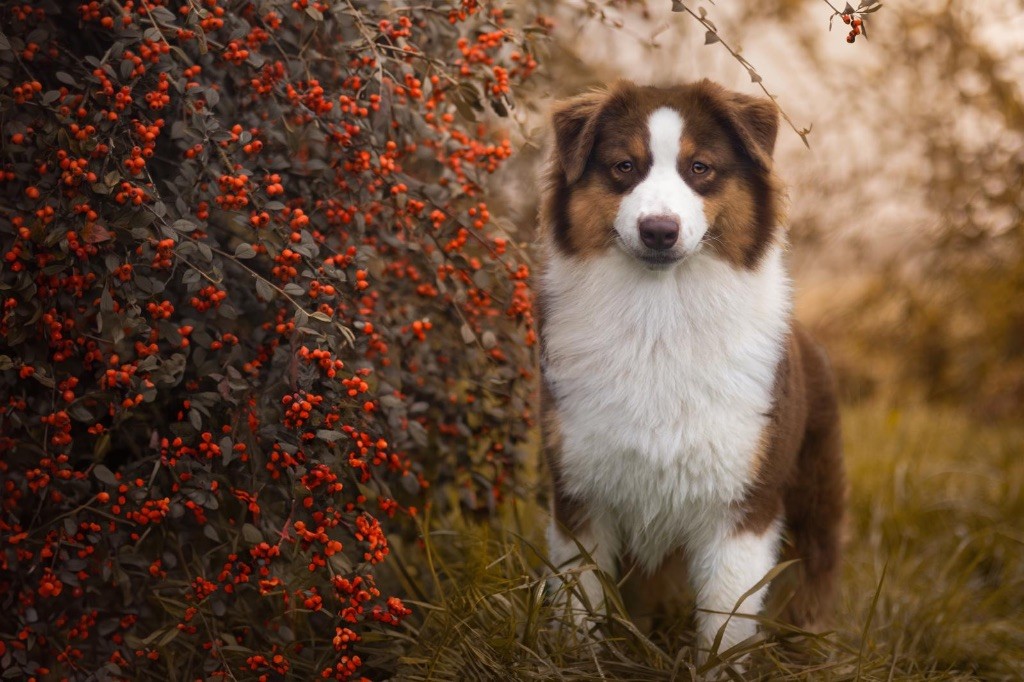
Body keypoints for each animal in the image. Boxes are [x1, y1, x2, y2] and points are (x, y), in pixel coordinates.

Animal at [540, 79, 843, 655]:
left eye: (700, 167)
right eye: (624, 166)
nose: (659, 230)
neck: (662, 316)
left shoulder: (745, 502)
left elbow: (725, 622)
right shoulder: (579, 491)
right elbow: (579, 602)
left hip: (817, 492)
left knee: (816, 573)